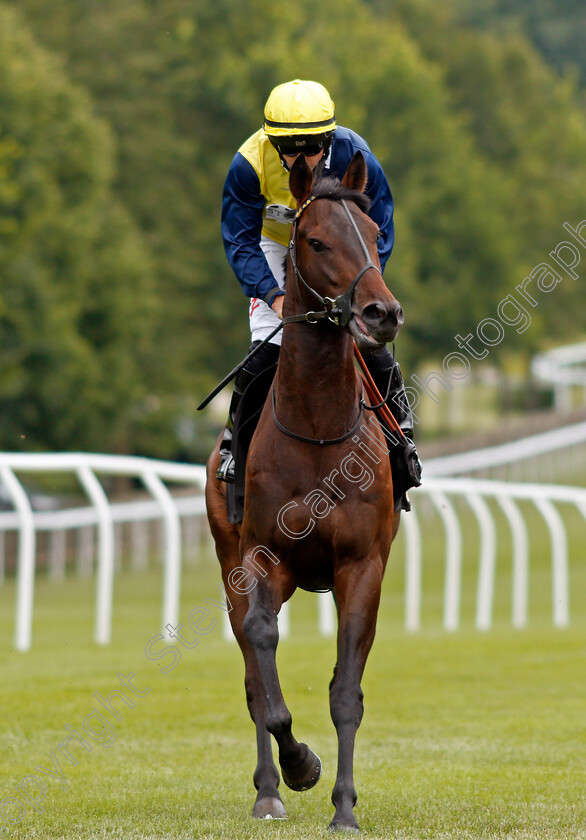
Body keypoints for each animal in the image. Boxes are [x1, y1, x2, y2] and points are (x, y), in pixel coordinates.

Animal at [204, 153, 402, 832]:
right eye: (316, 241)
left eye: (373, 234)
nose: (381, 314)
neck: (317, 428)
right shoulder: (263, 561)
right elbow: (266, 679)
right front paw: (300, 767)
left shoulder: (361, 565)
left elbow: (346, 690)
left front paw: (344, 807)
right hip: (231, 563)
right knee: (250, 674)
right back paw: (268, 790)